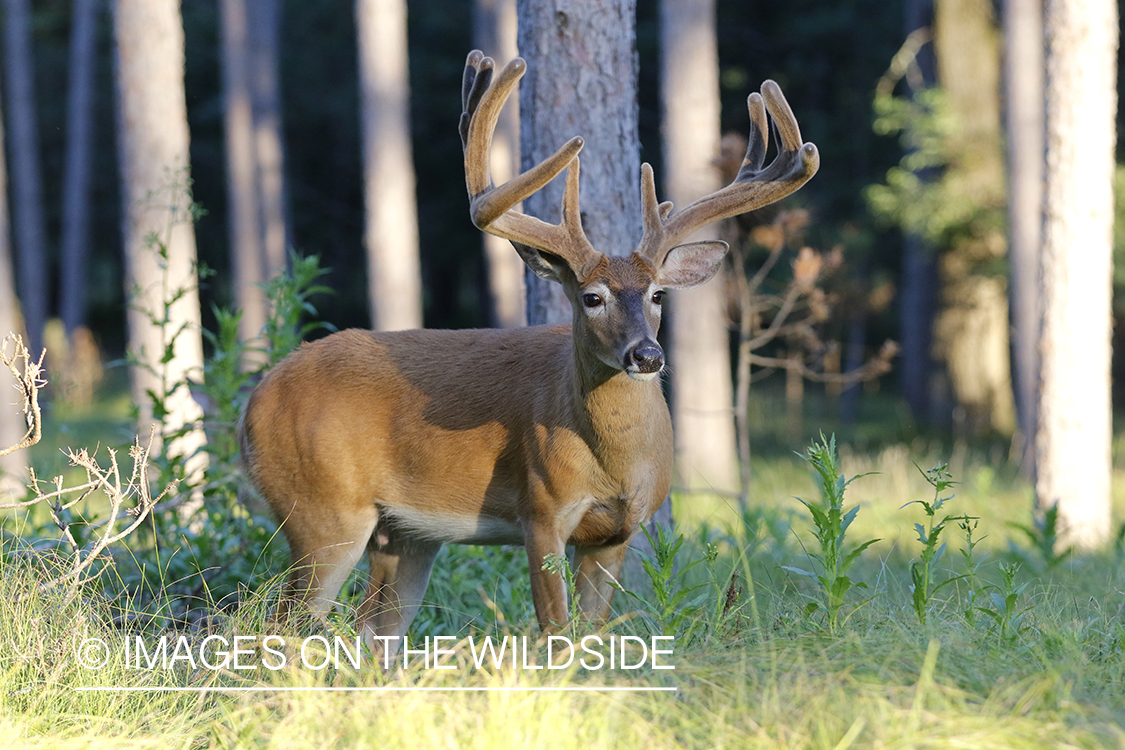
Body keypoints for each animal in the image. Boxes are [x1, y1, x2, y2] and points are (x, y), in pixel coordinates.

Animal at [237, 49, 819, 656]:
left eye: (659, 294)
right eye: (591, 297)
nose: (647, 356)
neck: (614, 464)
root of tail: (251, 405)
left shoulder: (616, 532)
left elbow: (593, 632)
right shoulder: (541, 511)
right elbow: (556, 633)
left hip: (402, 534)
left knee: (374, 634)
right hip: (320, 511)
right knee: (281, 624)